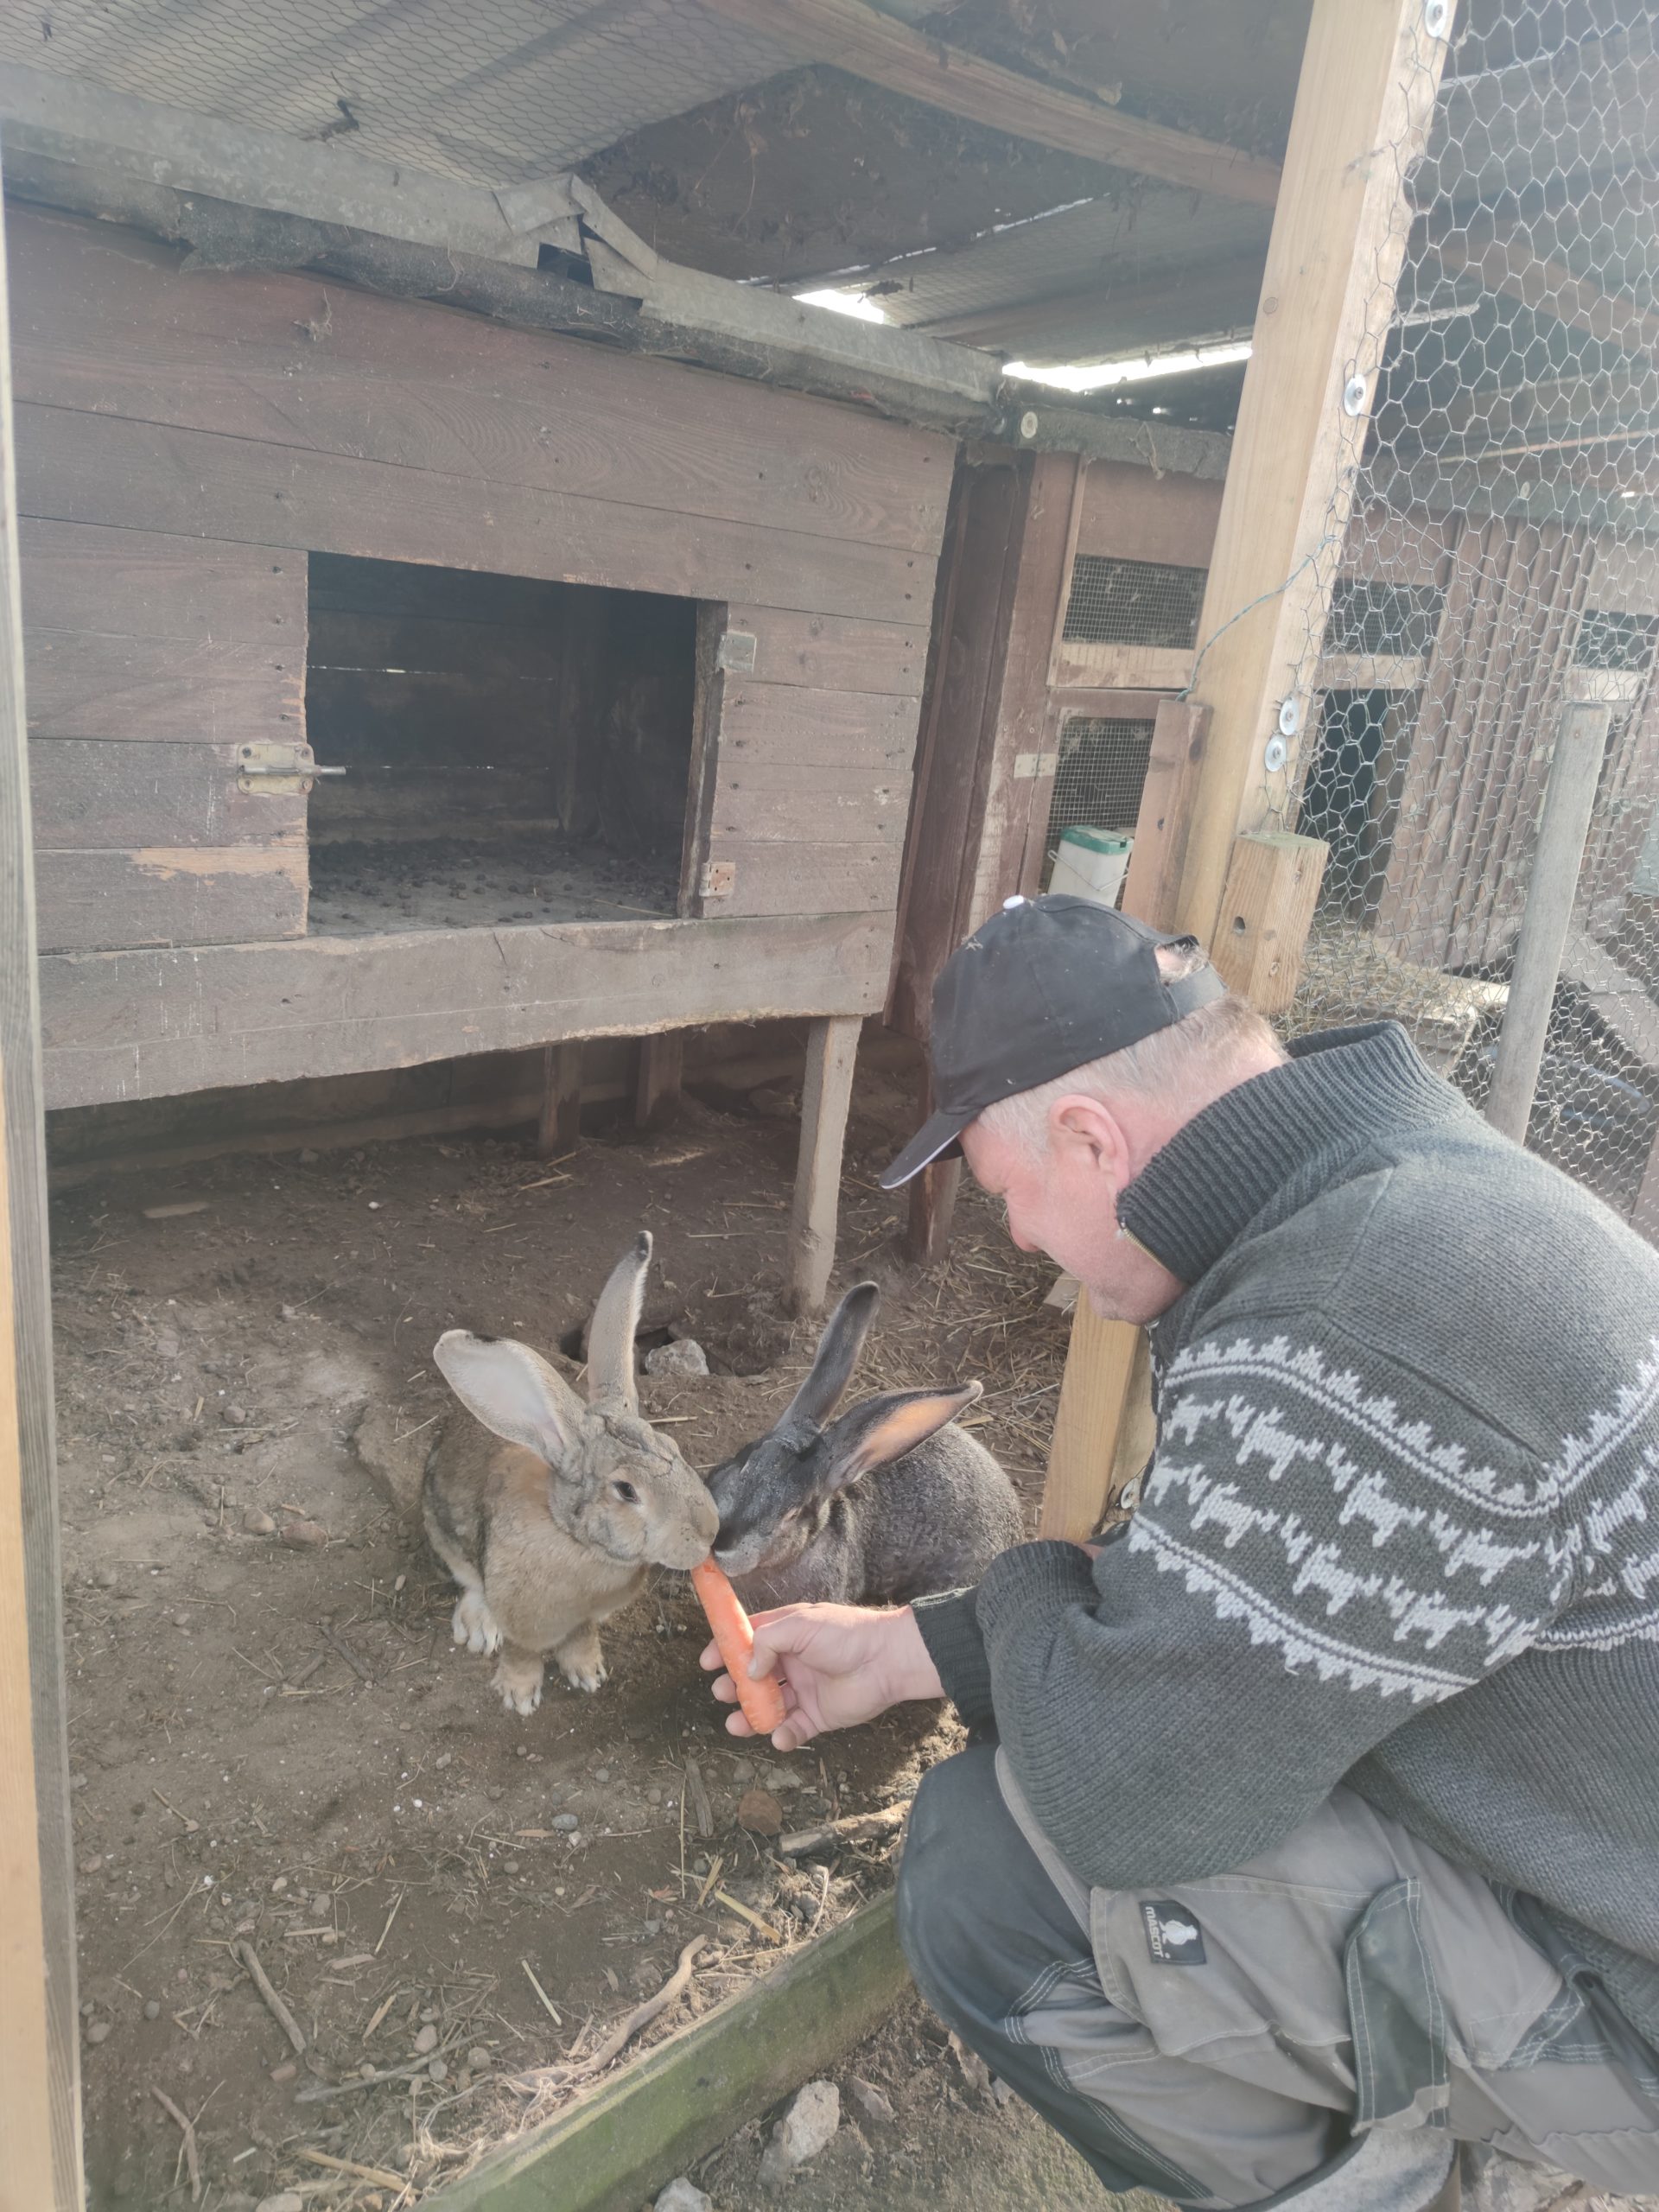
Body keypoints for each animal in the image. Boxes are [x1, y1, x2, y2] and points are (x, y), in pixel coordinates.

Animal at [425, 1232, 718, 1715]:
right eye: (626, 1491)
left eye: (672, 1448)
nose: (711, 1532)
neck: (575, 1541)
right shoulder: (524, 1620)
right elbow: (522, 1652)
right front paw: (519, 1696)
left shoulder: (586, 1617)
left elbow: (582, 1637)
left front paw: (587, 1673)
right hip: (442, 1530)